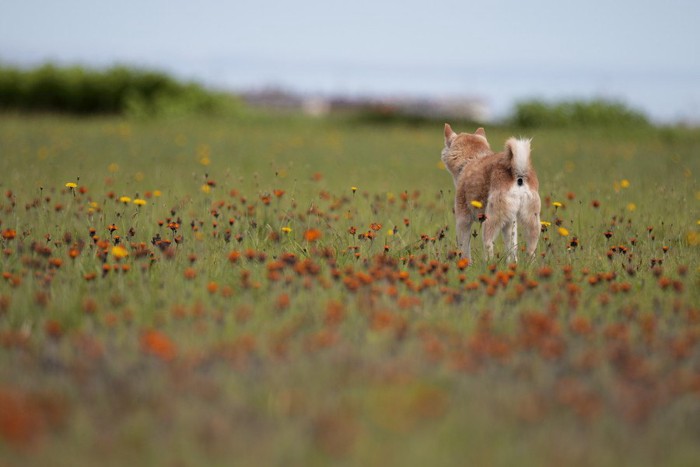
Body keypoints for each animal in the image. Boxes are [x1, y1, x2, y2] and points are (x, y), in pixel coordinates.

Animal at [442, 123, 540, 264]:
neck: (470, 160)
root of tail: (518, 172)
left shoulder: (463, 219)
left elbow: (464, 247)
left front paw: (466, 264)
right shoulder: (509, 223)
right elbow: (511, 248)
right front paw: (511, 263)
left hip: (490, 220)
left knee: (488, 245)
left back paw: (487, 264)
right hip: (531, 221)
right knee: (531, 249)